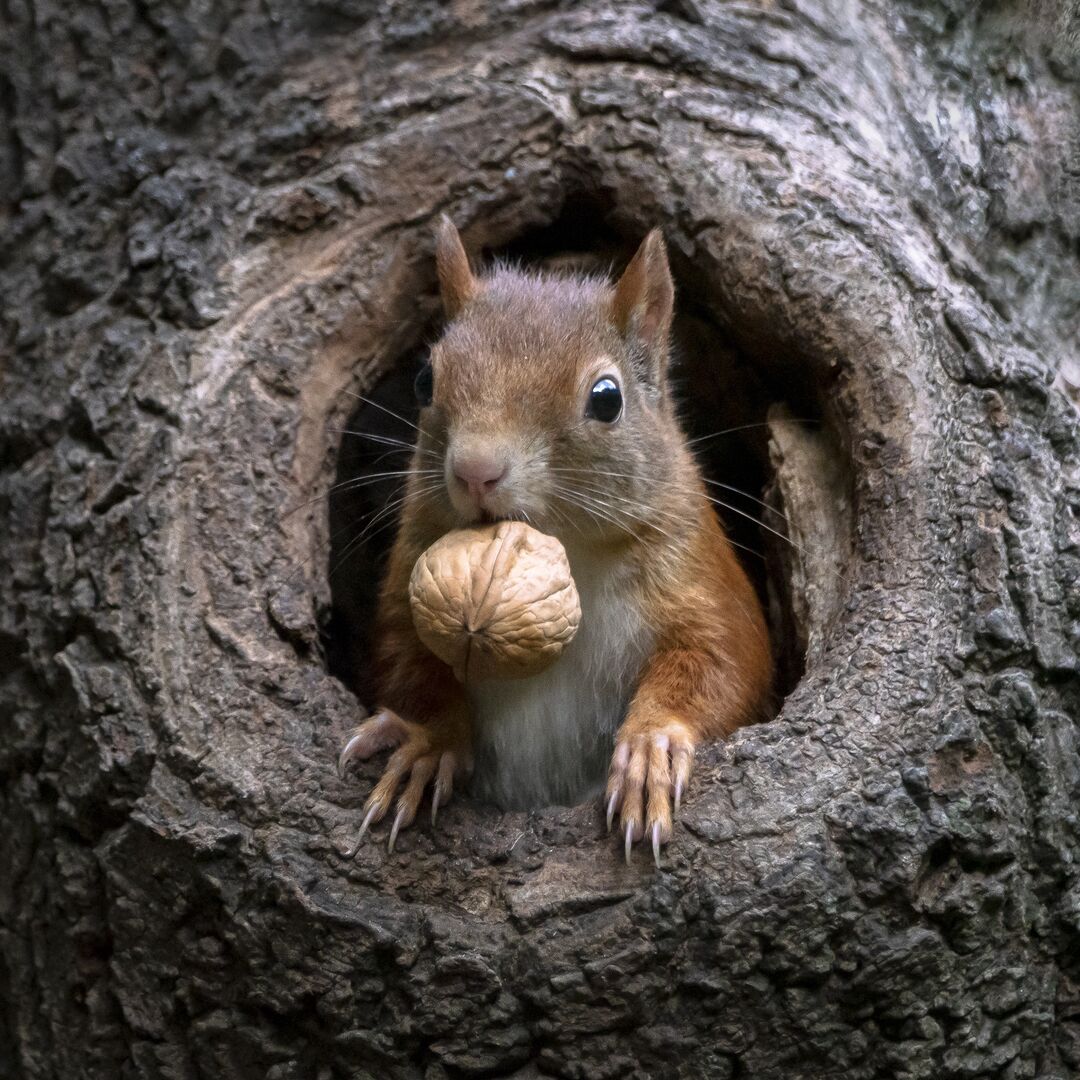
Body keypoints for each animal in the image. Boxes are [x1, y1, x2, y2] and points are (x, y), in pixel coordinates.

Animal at [338, 218, 773, 864]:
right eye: (423, 379)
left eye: (607, 398)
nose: (475, 470)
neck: (569, 549)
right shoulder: (408, 572)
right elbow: (407, 662)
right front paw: (425, 743)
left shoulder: (699, 575)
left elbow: (725, 662)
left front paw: (651, 747)